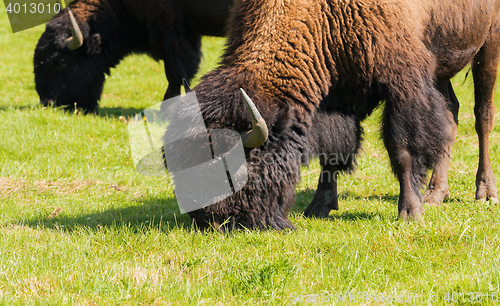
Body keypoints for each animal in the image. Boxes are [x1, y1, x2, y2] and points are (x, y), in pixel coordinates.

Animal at [33, 0, 232, 113]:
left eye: (59, 62)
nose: (48, 102)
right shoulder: (188, 34)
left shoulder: (169, 30)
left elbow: (175, 74)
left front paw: (166, 108)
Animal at [182, 0, 498, 230]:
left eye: (232, 168)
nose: (209, 219)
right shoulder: (332, 96)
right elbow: (331, 153)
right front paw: (319, 207)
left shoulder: (403, 83)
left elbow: (402, 151)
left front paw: (410, 212)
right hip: (444, 63)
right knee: (450, 115)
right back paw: (436, 193)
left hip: (488, 45)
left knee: (482, 117)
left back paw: (485, 192)